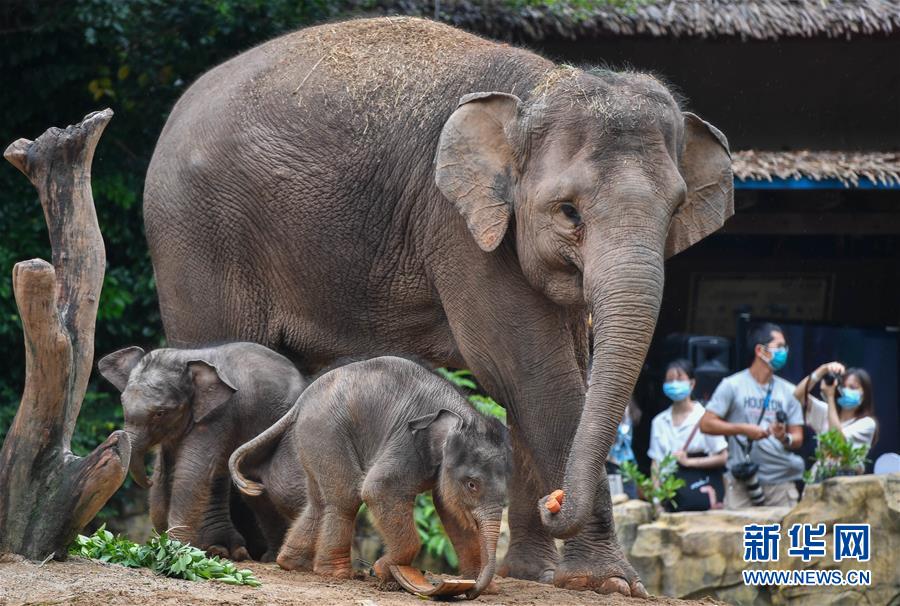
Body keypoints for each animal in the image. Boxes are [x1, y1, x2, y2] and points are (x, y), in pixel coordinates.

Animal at [98, 342, 309, 559]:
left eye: (160, 413)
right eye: (122, 404)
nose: (148, 481)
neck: (186, 359)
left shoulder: (218, 414)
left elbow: (189, 473)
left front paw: (176, 550)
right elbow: (167, 471)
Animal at [229, 356, 511, 599]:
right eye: (472, 484)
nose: (472, 592)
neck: (463, 414)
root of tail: (301, 401)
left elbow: (452, 513)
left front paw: (488, 589)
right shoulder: (406, 442)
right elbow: (379, 490)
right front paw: (384, 569)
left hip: (310, 439)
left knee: (319, 501)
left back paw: (291, 564)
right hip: (327, 432)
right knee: (346, 498)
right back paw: (340, 574)